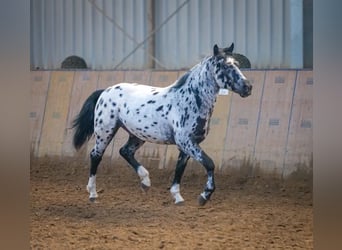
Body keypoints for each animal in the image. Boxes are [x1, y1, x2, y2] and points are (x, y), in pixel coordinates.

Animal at [72, 44, 252, 206]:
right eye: (224, 65)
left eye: (236, 64)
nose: (248, 87)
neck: (190, 100)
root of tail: (105, 91)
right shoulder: (186, 142)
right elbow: (209, 164)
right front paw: (204, 196)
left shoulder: (187, 145)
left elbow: (180, 169)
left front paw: (178, 197)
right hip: (105, 131)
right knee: (96, 155)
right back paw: (93, 194)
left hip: (137, 135)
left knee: (125, 151)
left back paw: (145, 182)